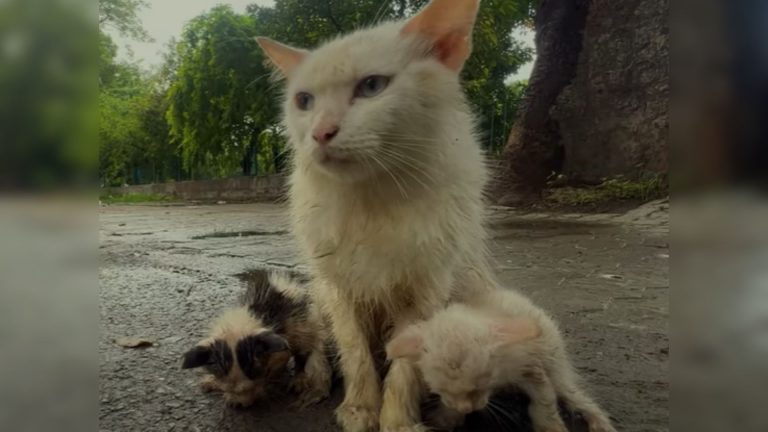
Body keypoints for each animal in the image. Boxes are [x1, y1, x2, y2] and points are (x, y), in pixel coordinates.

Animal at [256, 1, 492, 430]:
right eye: (304, 101)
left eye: (371, 87)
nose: (320, 133)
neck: (374, 198)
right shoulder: (339, 287)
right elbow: (355, 353)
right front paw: (360, 408)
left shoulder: (426, 289)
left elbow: (405, 366)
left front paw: (397, 419)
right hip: (319, 294)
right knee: (318, 342)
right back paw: (313, 381)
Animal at [388, 286, 616, 432]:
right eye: (440, 390)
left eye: (481, 386)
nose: (467, 409)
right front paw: (445, 418)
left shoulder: (531, 366)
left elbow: (543, 402)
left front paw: (552, 427)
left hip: (556, 364)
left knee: (573, 395)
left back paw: (600, 423)